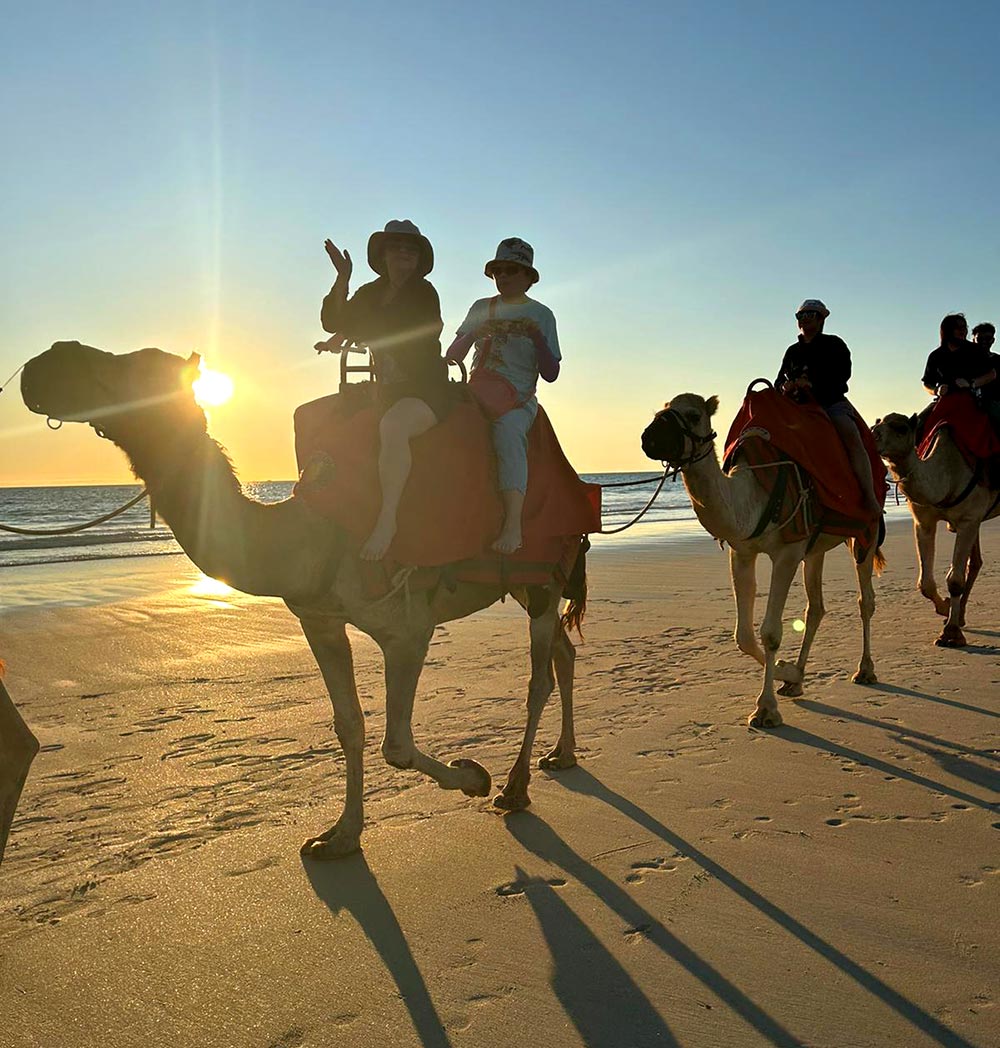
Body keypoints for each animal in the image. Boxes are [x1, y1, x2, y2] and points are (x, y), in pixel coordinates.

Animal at [17, 343, 582, 859]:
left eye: (131, 367)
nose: (44, 362)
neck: (304, 537)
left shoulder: (406, 630)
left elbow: (396, 744)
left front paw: (473, 777)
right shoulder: (320, 620)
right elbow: (349, 725)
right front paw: (340, 836)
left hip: (542, 577)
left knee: (539, 678)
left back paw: (514, 788)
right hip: (531, 585)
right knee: (564, 652)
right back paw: (561, 755)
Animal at [637, 394, 880, 729]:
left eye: (694, 415)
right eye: (661, 410)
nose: (648, 438)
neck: (753, 495)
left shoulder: (787, 553)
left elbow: (771, 632)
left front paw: (766, 709)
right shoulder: (742, 552)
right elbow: (743, 635)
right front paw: (789, 671)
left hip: (863, 533)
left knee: (865, 600)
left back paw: (865, 670)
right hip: (815, 547)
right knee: (816, 607)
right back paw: (796, 682)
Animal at [867, 410, 993, 645]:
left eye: (901, 428)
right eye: (875, 424)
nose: (871, 436)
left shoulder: (968, 520)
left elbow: (955, 580)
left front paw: (950, 633)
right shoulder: (924, 522)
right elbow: (925, 583)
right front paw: (945, 609)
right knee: (975, 562)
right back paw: (961, 615)